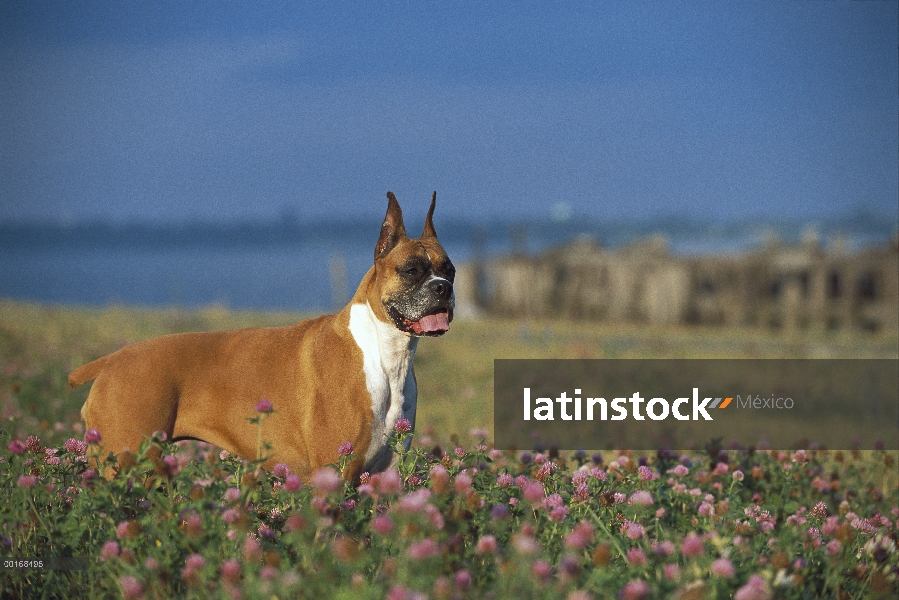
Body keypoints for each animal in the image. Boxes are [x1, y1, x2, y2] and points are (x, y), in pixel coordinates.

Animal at [68, 195, 458, 480]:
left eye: (450, 270)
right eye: (412, 270)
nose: (443, 288)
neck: (384, 352)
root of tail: (110, 361)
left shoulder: (381, 477)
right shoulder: (333, 474)